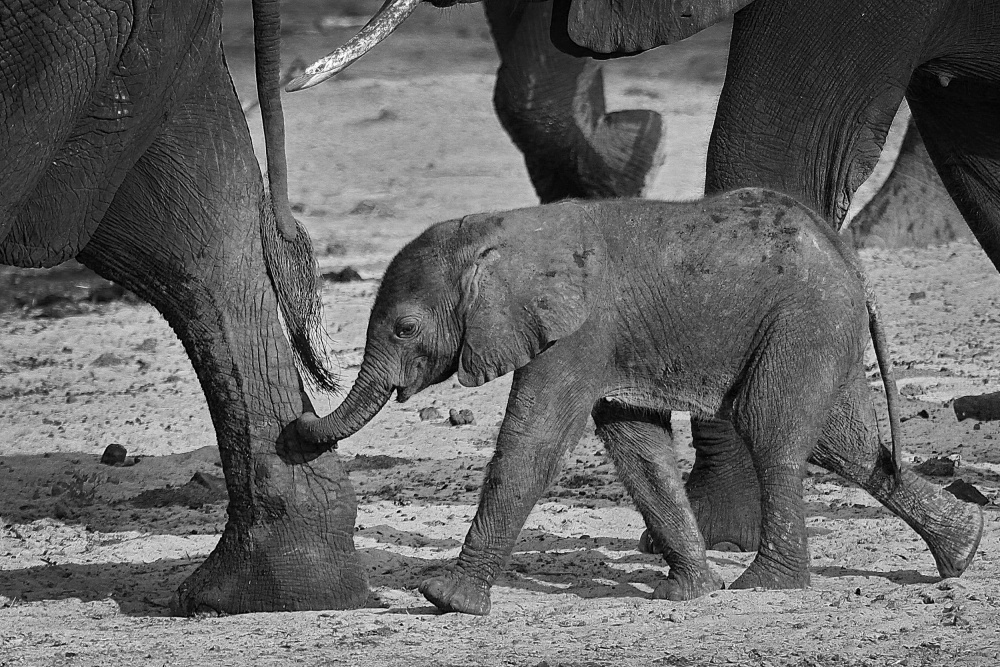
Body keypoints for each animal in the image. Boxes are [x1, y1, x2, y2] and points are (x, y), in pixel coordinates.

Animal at [294, 188, 984, 615]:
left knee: (775, 435)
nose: (296, 422)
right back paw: (963, 549)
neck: (502, 231)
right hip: (818, 328)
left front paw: (446, 599)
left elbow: (533, 444)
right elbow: (636, 445)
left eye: (405, 329)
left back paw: (766, 585)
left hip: (802, 322)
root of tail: (851, 264)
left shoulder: (578, 331)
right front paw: (689, 594)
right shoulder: (605, 342)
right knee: (848, 447)